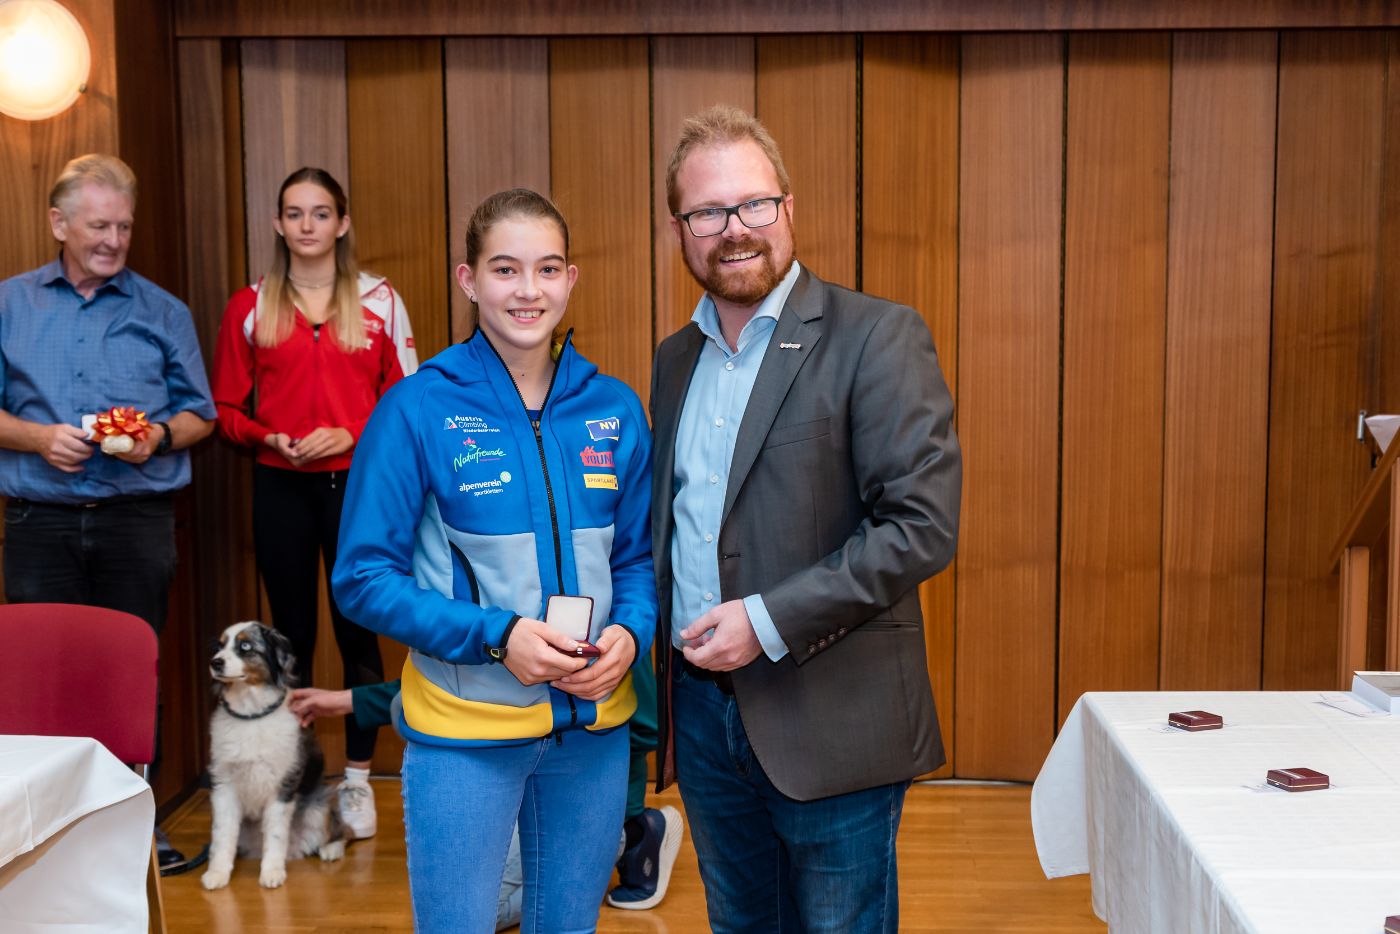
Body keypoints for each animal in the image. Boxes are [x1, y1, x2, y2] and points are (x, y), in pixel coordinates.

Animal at [201, 621, 346, 890]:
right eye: (219, 646)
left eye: (245, 646)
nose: (215, 662)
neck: (251, 715)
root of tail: (296, 850)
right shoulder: (224, 784)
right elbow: (222, 835)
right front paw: (217, 873)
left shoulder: (283, 785)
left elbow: (276, 835)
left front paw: (271, 872)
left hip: (319, 805)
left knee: (342, 830)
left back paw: (331, 850)